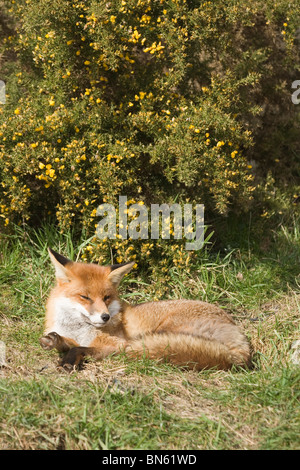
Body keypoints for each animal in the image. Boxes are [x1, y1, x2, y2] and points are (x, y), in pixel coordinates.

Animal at [39, 250, 251, 370]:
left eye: (106, 298)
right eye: (85, 297)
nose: (105, 317)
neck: (77, 328)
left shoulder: (116, 344)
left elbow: (80, 348)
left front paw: (68, 360)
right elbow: (66, 342)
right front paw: (55, 341)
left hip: (165, 329)